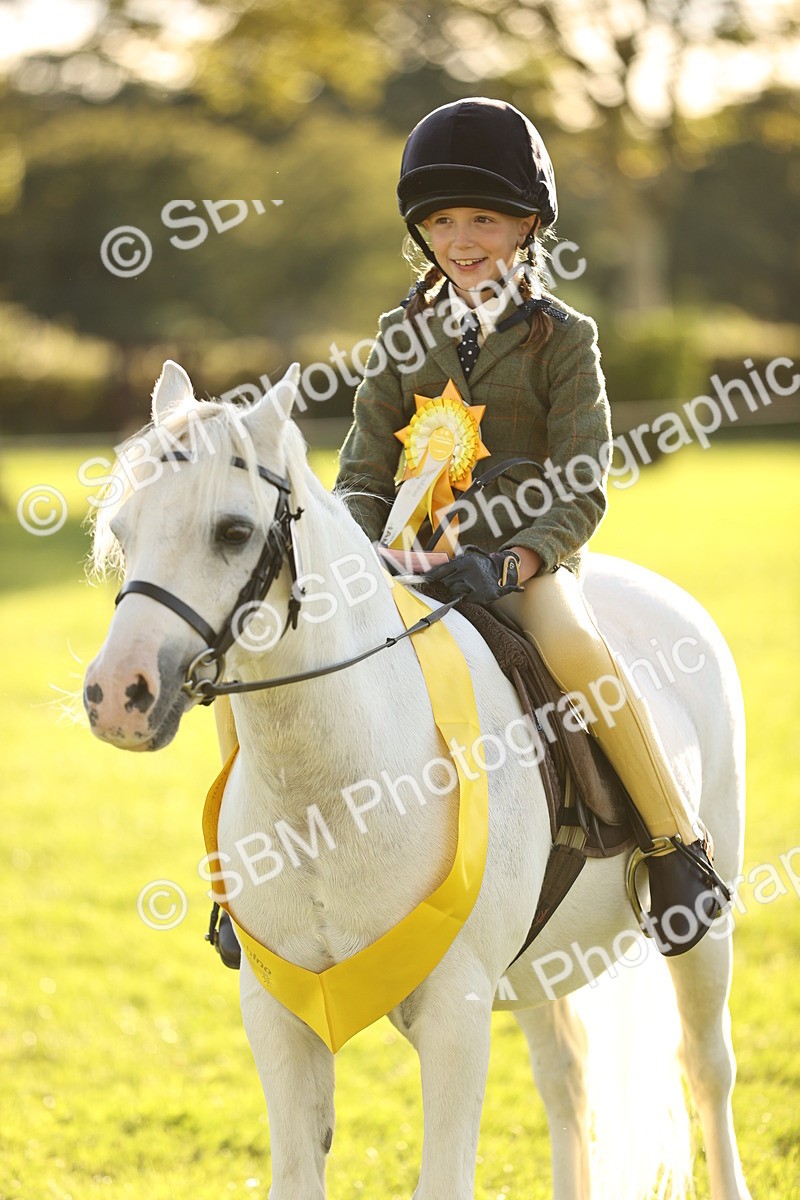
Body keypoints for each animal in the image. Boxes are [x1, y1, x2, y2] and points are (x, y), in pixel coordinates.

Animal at [84, 361, 751, 1200]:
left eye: (232, 531)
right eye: (123, 531)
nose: (117, 694)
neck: (327, 797)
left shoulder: (456, 1015)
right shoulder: (276, 1015)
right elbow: (296, 1174)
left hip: (702, 929)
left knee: (708, 1068)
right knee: (566, 1078)